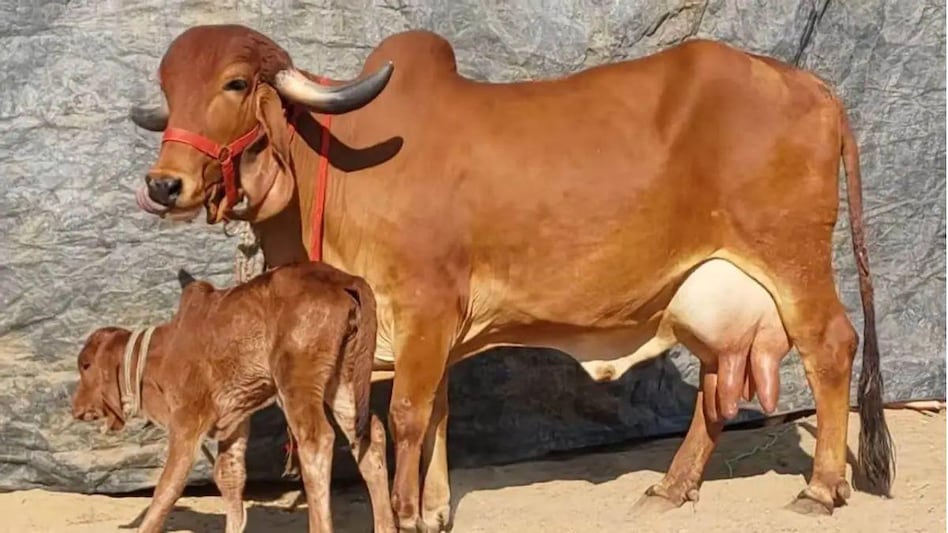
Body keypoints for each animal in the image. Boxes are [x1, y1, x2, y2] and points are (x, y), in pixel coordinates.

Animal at [71, 263, 395, 533]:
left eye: (85, 365)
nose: (75, 408)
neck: (160, 354)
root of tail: (342, 279)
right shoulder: (235, 421)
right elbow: (229, 476)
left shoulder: (187, 423)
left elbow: (167, 488)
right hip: (344, 379)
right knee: (370, 436)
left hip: (297, 381)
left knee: (317, 441)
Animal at [125, 24, 895, 532]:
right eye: (167, 89)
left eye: (234, 83)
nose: (163, 185)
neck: (336, 167)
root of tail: (814, 87)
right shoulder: (424, 329)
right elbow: (438, 409)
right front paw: (434, 509)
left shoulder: (425, 305)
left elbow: (409, 415)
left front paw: (406, 511)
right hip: (706, 289)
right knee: (718, 382)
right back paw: (671, 488)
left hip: (793, 258)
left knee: (831, 345)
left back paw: (822, 487)